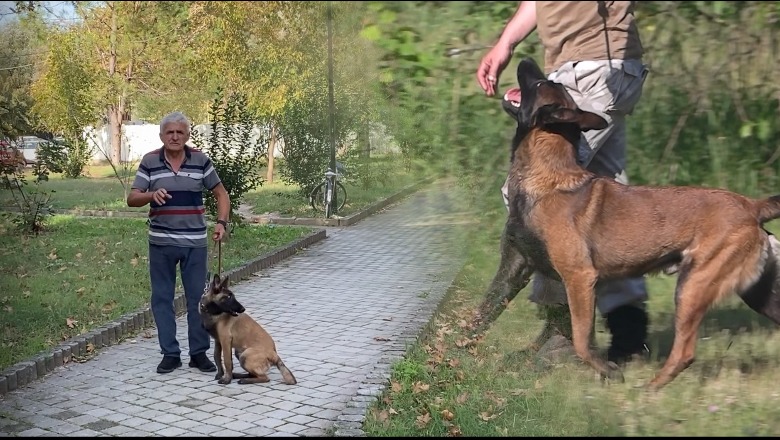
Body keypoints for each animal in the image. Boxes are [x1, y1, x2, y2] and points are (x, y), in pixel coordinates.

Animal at [472, 56, 780, 390]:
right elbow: (480, 315)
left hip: (692, 286)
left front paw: (609, 371)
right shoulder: (514, 267)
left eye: (540, 83)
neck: (546, 178)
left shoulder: (580, 278)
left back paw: (648, 389)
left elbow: (581, 341)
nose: (525, 58)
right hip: (756, 291)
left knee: (684, 353)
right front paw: (454, 352)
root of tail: (752, 205)